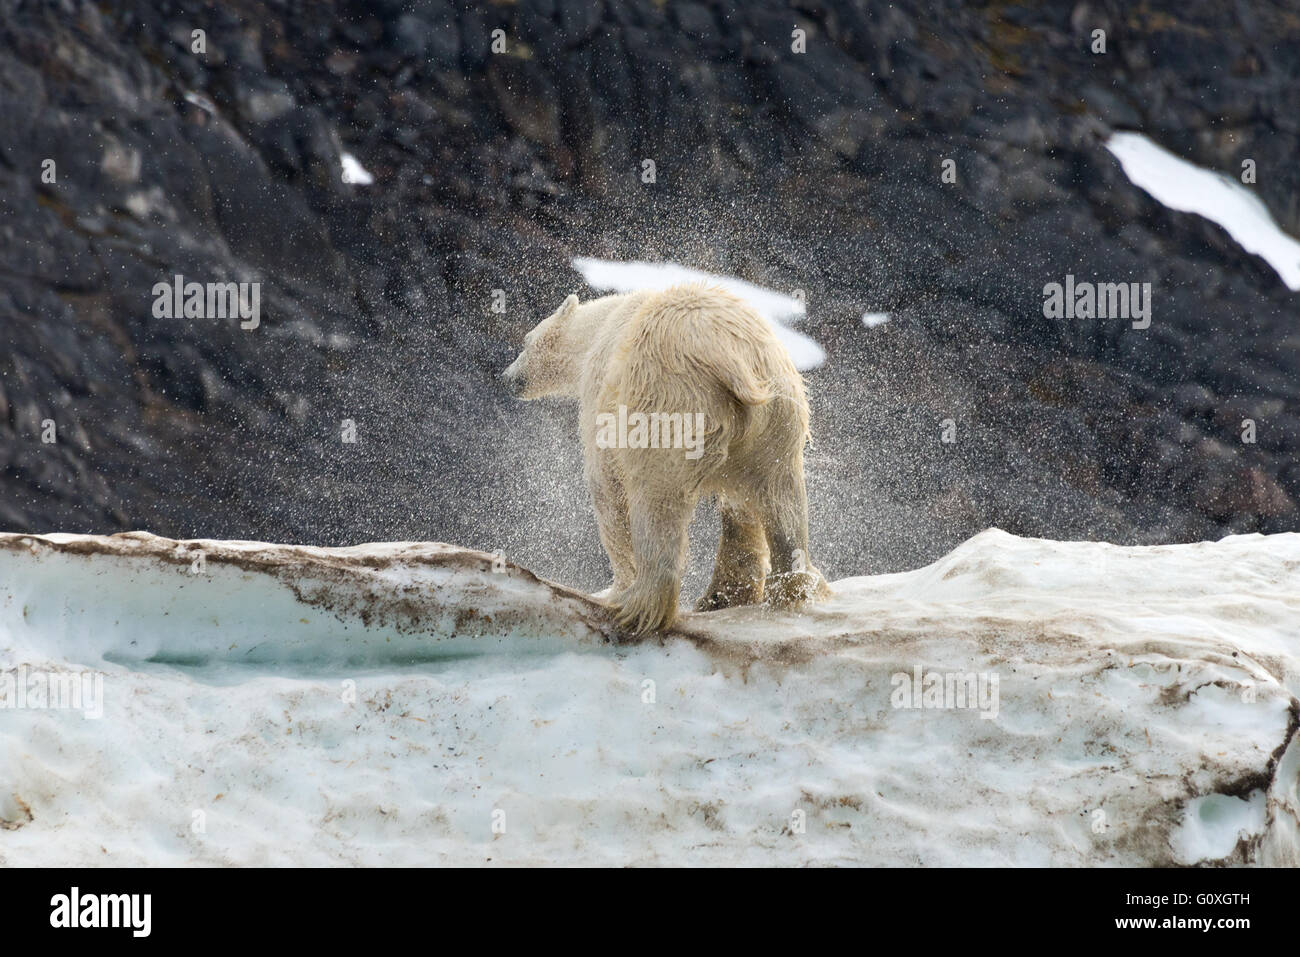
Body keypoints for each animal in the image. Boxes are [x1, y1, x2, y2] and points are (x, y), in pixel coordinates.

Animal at [501, 282, 826, 634]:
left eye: (526, 341)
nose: (508, 377)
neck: (600, 327)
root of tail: (730, 356)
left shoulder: (603, 398)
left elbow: (607, 490)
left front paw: (617, 587)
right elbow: (742, 506)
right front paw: (729, 594)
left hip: (669, 403)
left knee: (657, 500)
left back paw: (638, 606)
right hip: (778, 414)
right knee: (781, 498)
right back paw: (787, 588)